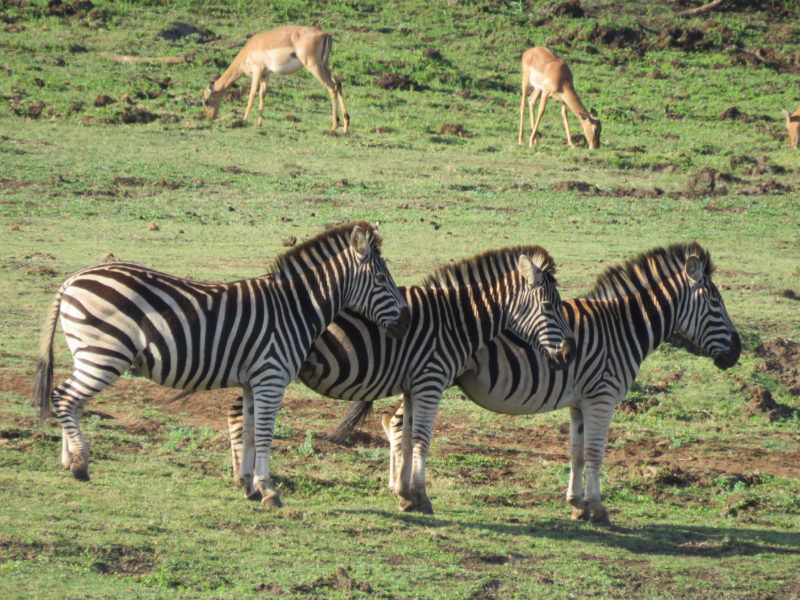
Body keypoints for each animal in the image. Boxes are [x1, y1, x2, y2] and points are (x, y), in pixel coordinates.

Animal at [32, 220, 410, 506]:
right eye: (381, 279)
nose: (404, 323)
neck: (294, 309)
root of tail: (72, 279)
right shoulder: (271, 377)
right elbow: (264, 433)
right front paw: (268, 490)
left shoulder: (253, 381)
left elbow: (249, 430)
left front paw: (248, 485)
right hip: (104, 353)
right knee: (65, 396)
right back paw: (80, 465)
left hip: (90, 354)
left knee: (73, 401)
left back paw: (69, 460)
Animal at [227, 246, 576, 512]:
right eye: (549, 306)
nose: (569, 353)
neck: (456, 321)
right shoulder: (430, 382)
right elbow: (421, 438)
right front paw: (420, 498)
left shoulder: (412, 386)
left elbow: (404, 435)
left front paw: (405, 495)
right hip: (270, 365)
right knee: (238, 412)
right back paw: (249, 482)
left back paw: (245, 480)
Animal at [332, 241, 744, 524]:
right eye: (716, 304)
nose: (737, 351)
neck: (622, 328)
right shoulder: (602, 397)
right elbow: (596, 453)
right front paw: (598, 509)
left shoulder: (580, 402)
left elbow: (577, 453)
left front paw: (577, 505)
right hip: (432, 377)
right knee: (399, 423)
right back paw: (407, 493)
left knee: (395, 422)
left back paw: (399, 490)